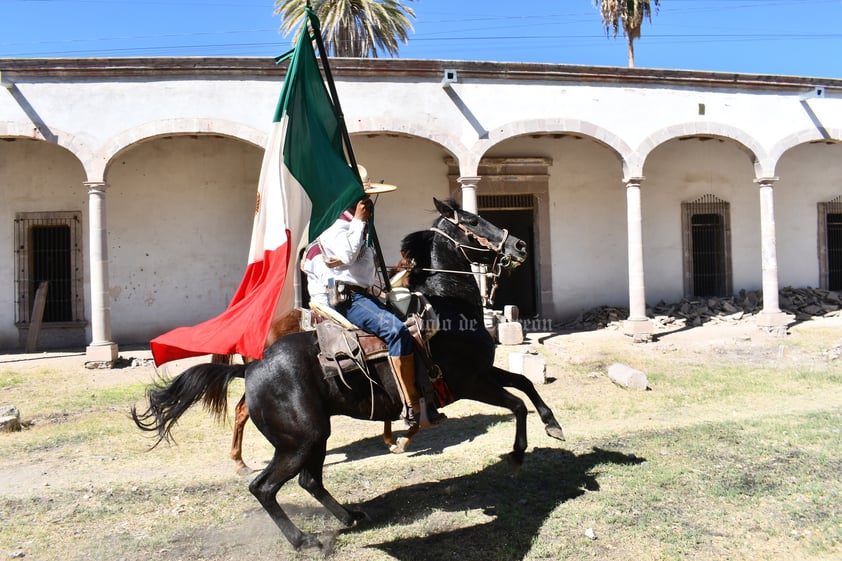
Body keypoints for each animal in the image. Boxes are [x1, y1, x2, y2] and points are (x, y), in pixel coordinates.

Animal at [133, 198, 564, 552]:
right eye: (472, 220)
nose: (519, 246)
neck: (447, 307)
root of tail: (251, 368)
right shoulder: (470, 382)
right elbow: (515, 404)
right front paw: (517, 455)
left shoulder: (482, 372)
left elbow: (525, 384)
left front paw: (553, 425)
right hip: (299, 441)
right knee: (265, 487)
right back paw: (304, 540)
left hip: (315, 436)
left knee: (310, 481)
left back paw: (349, 516)